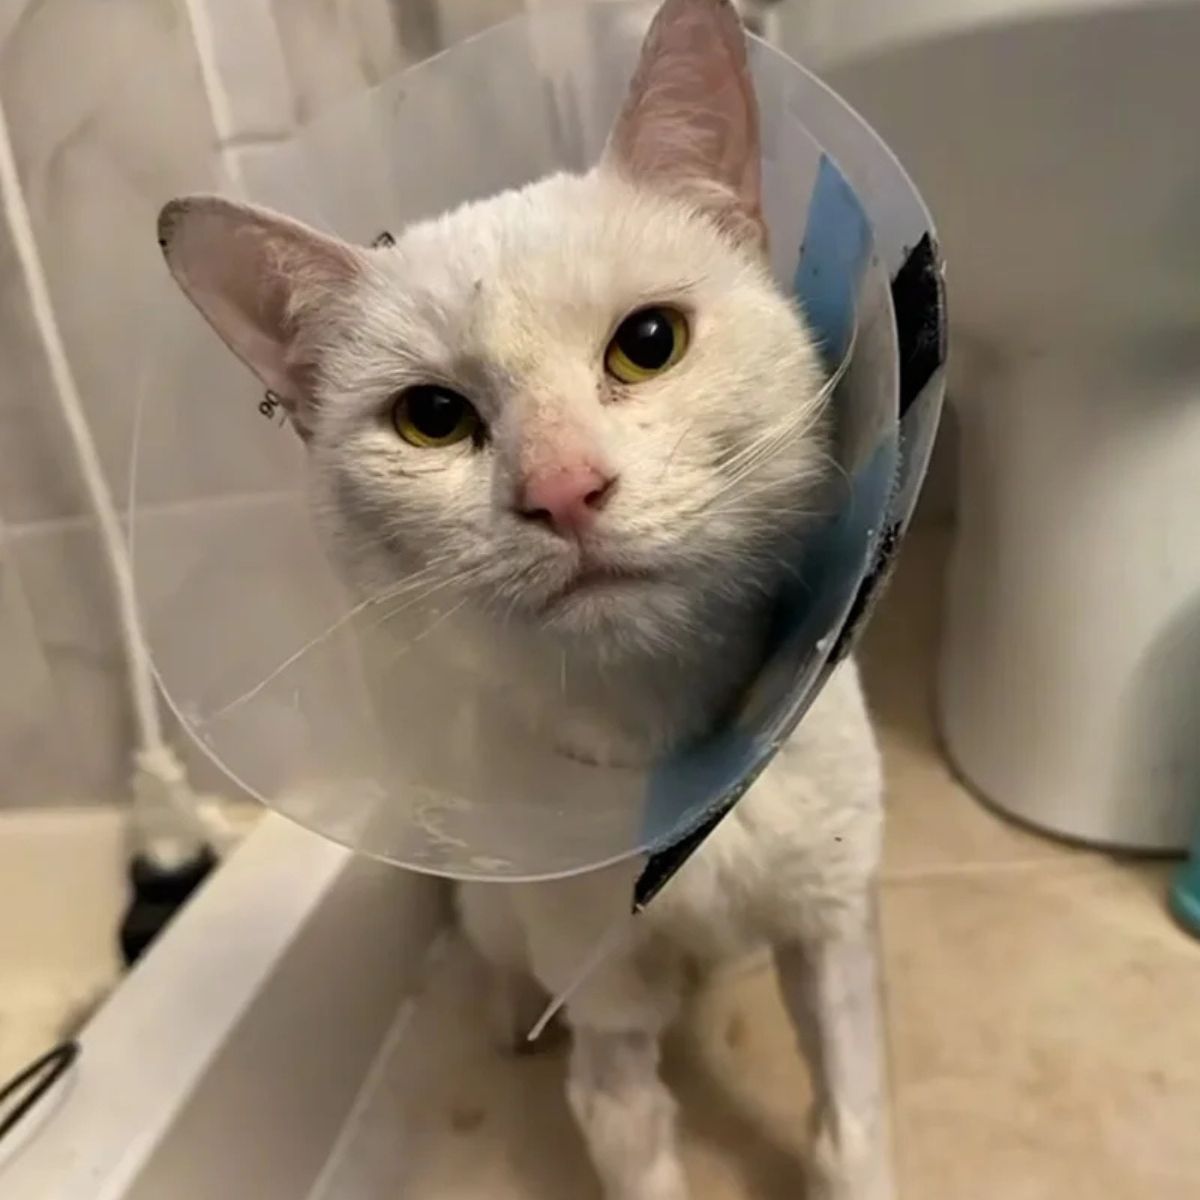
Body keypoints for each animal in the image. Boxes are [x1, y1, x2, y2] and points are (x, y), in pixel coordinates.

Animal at [157, 2, 892, 1200]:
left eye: (649, 345)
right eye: (431, 419)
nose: (561, 489)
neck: (673, 759)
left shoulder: (833, 929)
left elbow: (852, 1127)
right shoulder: (610, 1020)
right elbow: (626, 1122)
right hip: (501, 903)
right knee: (496, 952)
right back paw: (507, 1017)